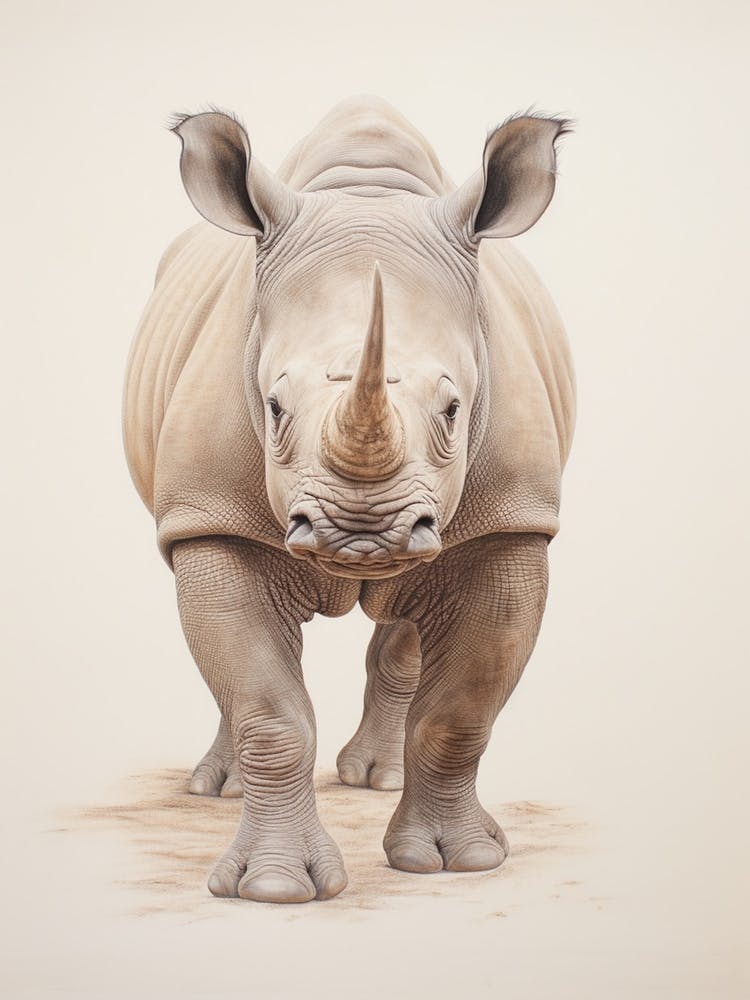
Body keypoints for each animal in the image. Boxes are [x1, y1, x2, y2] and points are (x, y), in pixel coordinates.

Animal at [123, 96, 575, 903]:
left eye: (454, 410)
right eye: (274, 407)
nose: (362, 530)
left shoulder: (509, 523)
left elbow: (461, 712)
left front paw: (461, 862)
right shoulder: (211, 517)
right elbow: (268, 710)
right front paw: (274, 889)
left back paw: (380, 779)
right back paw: (219, 789)